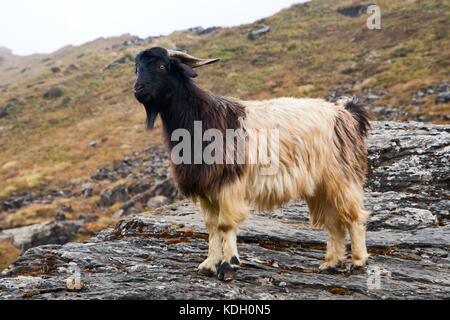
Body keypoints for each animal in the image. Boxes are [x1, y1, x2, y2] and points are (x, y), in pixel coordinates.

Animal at [134, 47, 372, 280]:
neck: (199, 116)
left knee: (354, 217)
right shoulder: (206, 187)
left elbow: (225, 224)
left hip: (341, 177)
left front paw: (228, 266)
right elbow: (211, 226)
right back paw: (331, 264)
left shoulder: (228, 182)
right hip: (321, 186)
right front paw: (209, 264)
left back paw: (358, 262)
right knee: (335, 222)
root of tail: (346, 115)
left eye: (162, 66)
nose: (138, 89)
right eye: (137, 68)